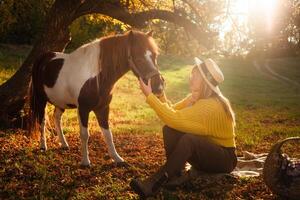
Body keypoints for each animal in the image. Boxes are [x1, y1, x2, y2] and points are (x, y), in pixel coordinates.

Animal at [28, 30, 164, 166]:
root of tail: (42, 58)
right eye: (138, 58)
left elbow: (108, 134)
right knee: (42, 121)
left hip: (61, 102)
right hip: (40, 100)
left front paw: (117, 158)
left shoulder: (103, 108)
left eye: (155, 56)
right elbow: (84, 134)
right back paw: (43, 146)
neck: (95, 77)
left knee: (56, 117)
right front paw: (85, 162)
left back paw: (64, 144)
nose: (159, 86)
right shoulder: (83, 109)